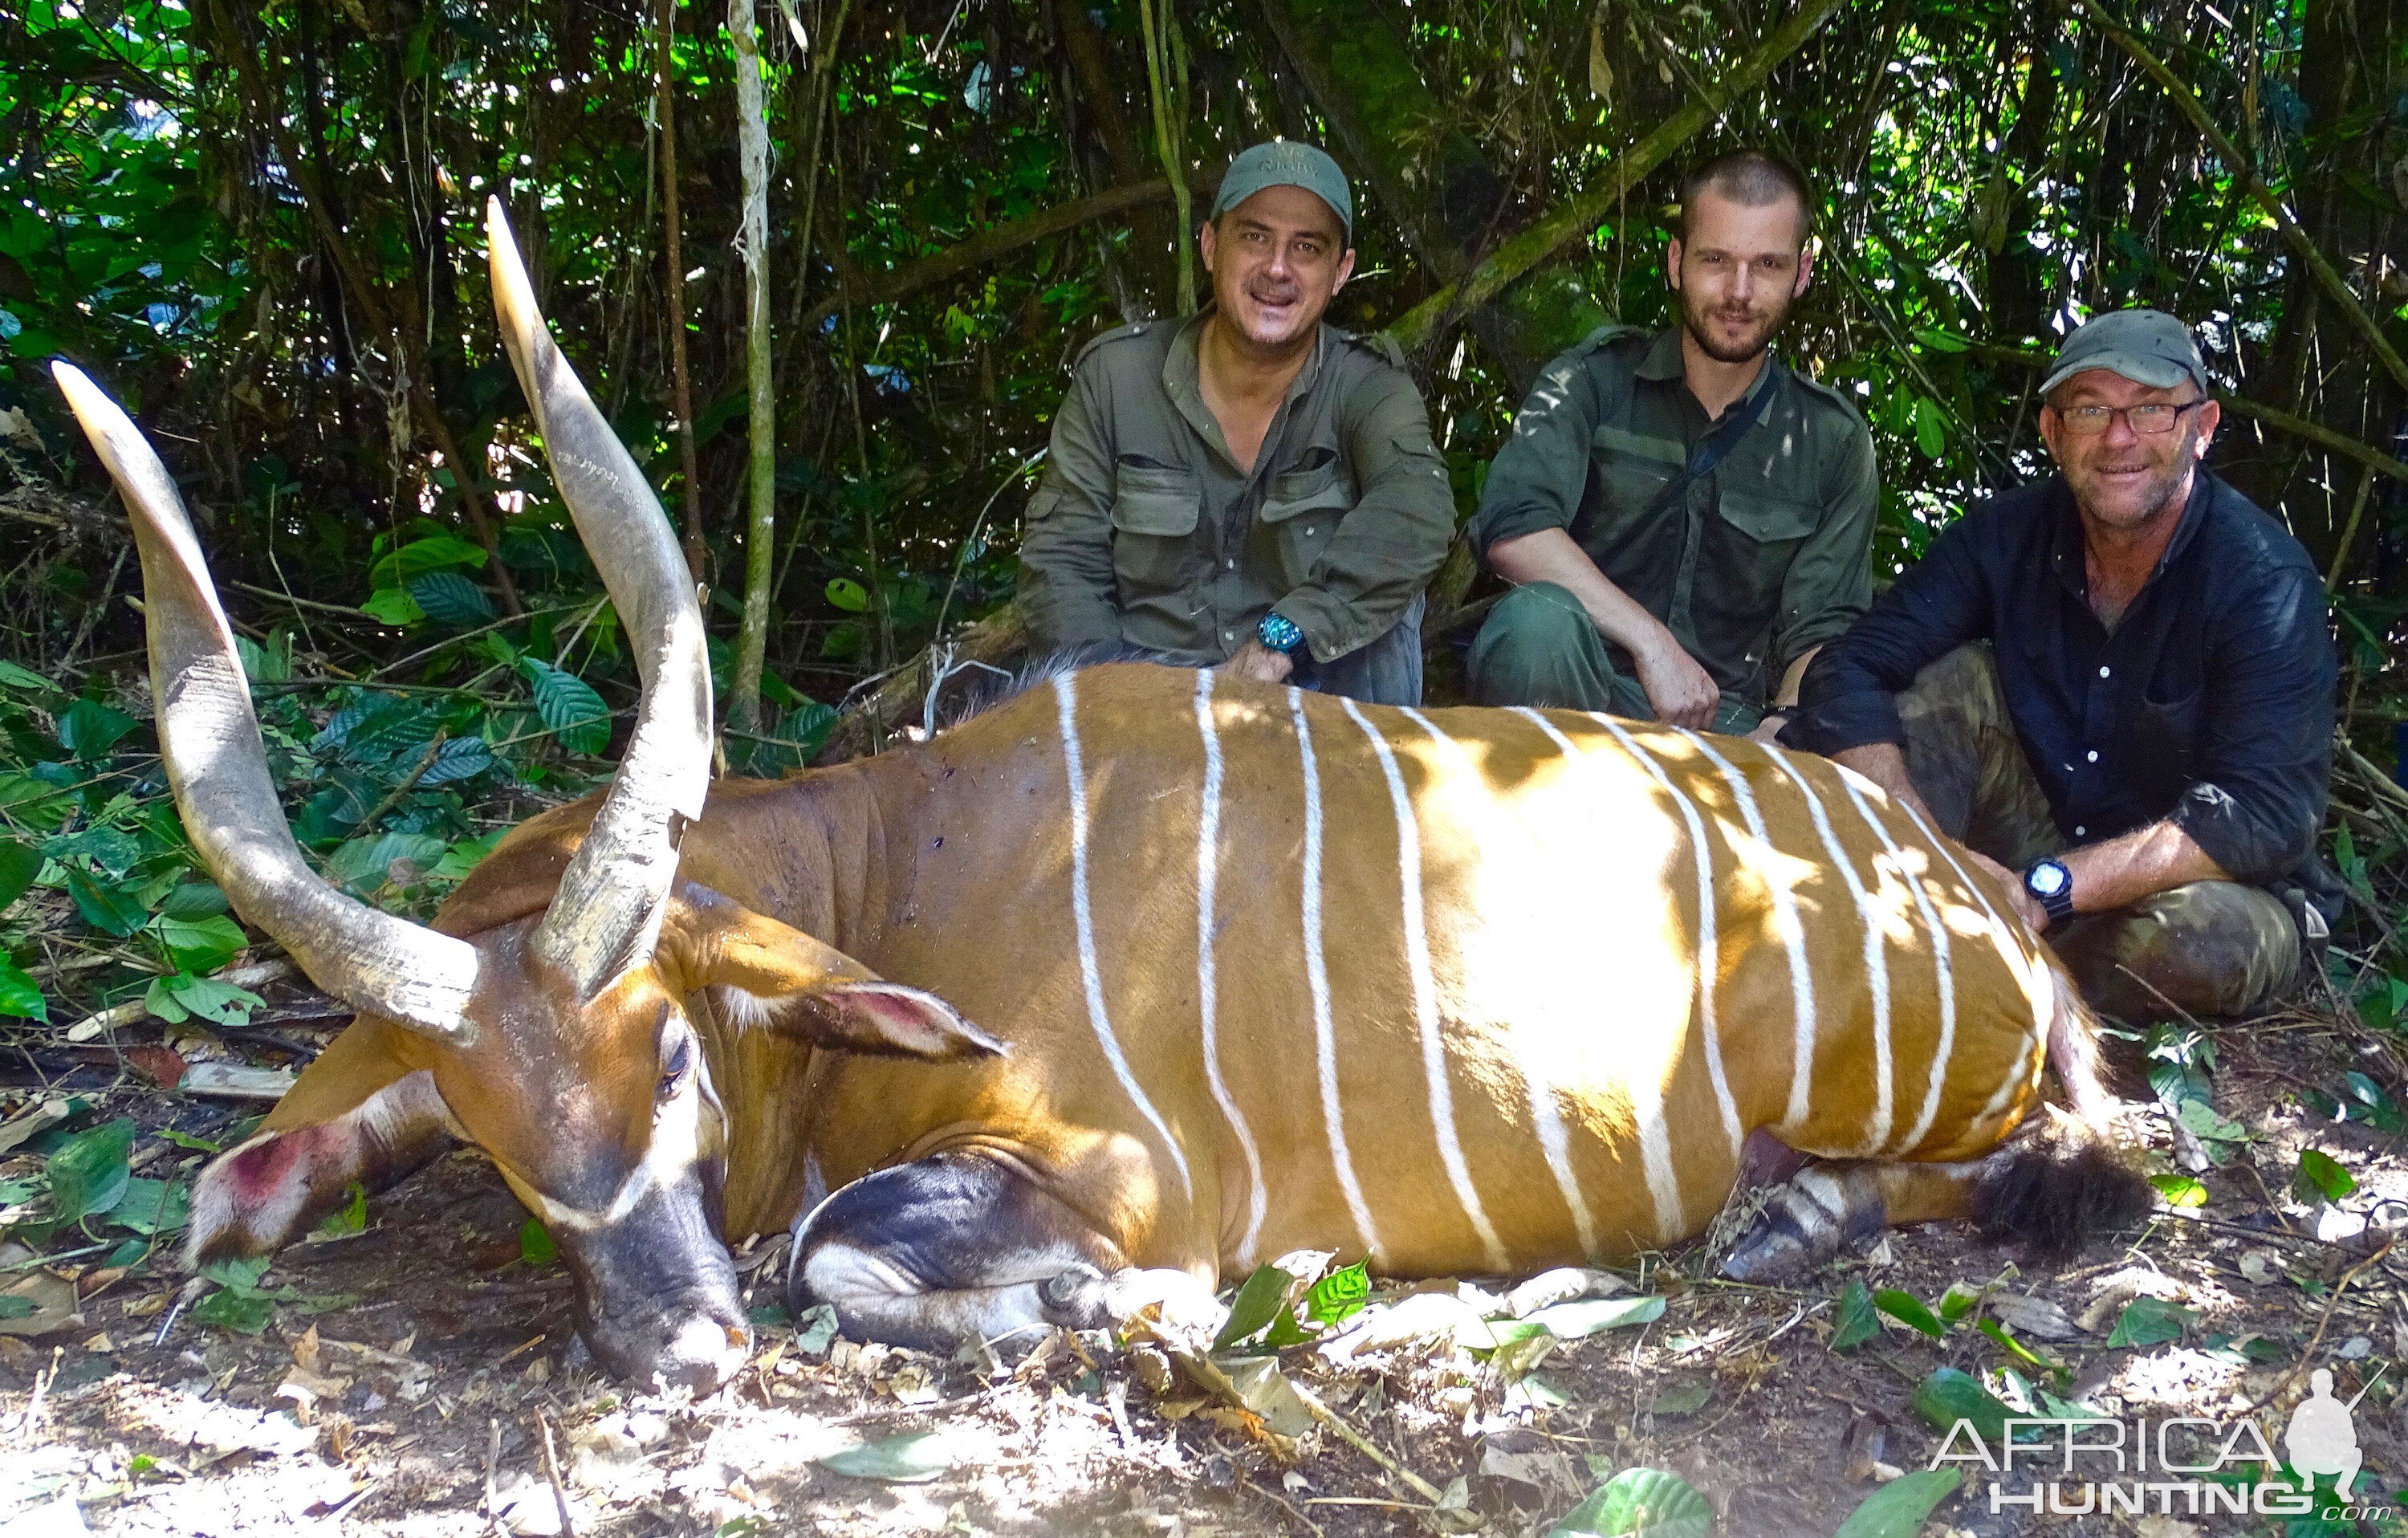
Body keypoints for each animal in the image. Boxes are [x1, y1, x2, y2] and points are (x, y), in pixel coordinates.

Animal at [56, 198, 2138, 1386]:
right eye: (490, 1136)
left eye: (673, 1049)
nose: (676, 1351)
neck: (902, 871)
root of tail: (1971, 886)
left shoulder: (1130, 1170)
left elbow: (841, 1242)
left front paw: (1110, 1318)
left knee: (2037, 1163)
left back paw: (1788, 1223)